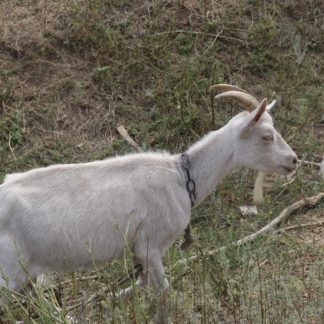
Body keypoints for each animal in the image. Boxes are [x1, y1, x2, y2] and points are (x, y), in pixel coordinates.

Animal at [0, 85, 298, 322]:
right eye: (267, 136)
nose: (294, 160)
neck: (181, 177)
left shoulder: (139, 250)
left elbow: (142, 284)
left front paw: (104, 304)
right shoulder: (151, 246)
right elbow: (163, 292)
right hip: (9, 273)